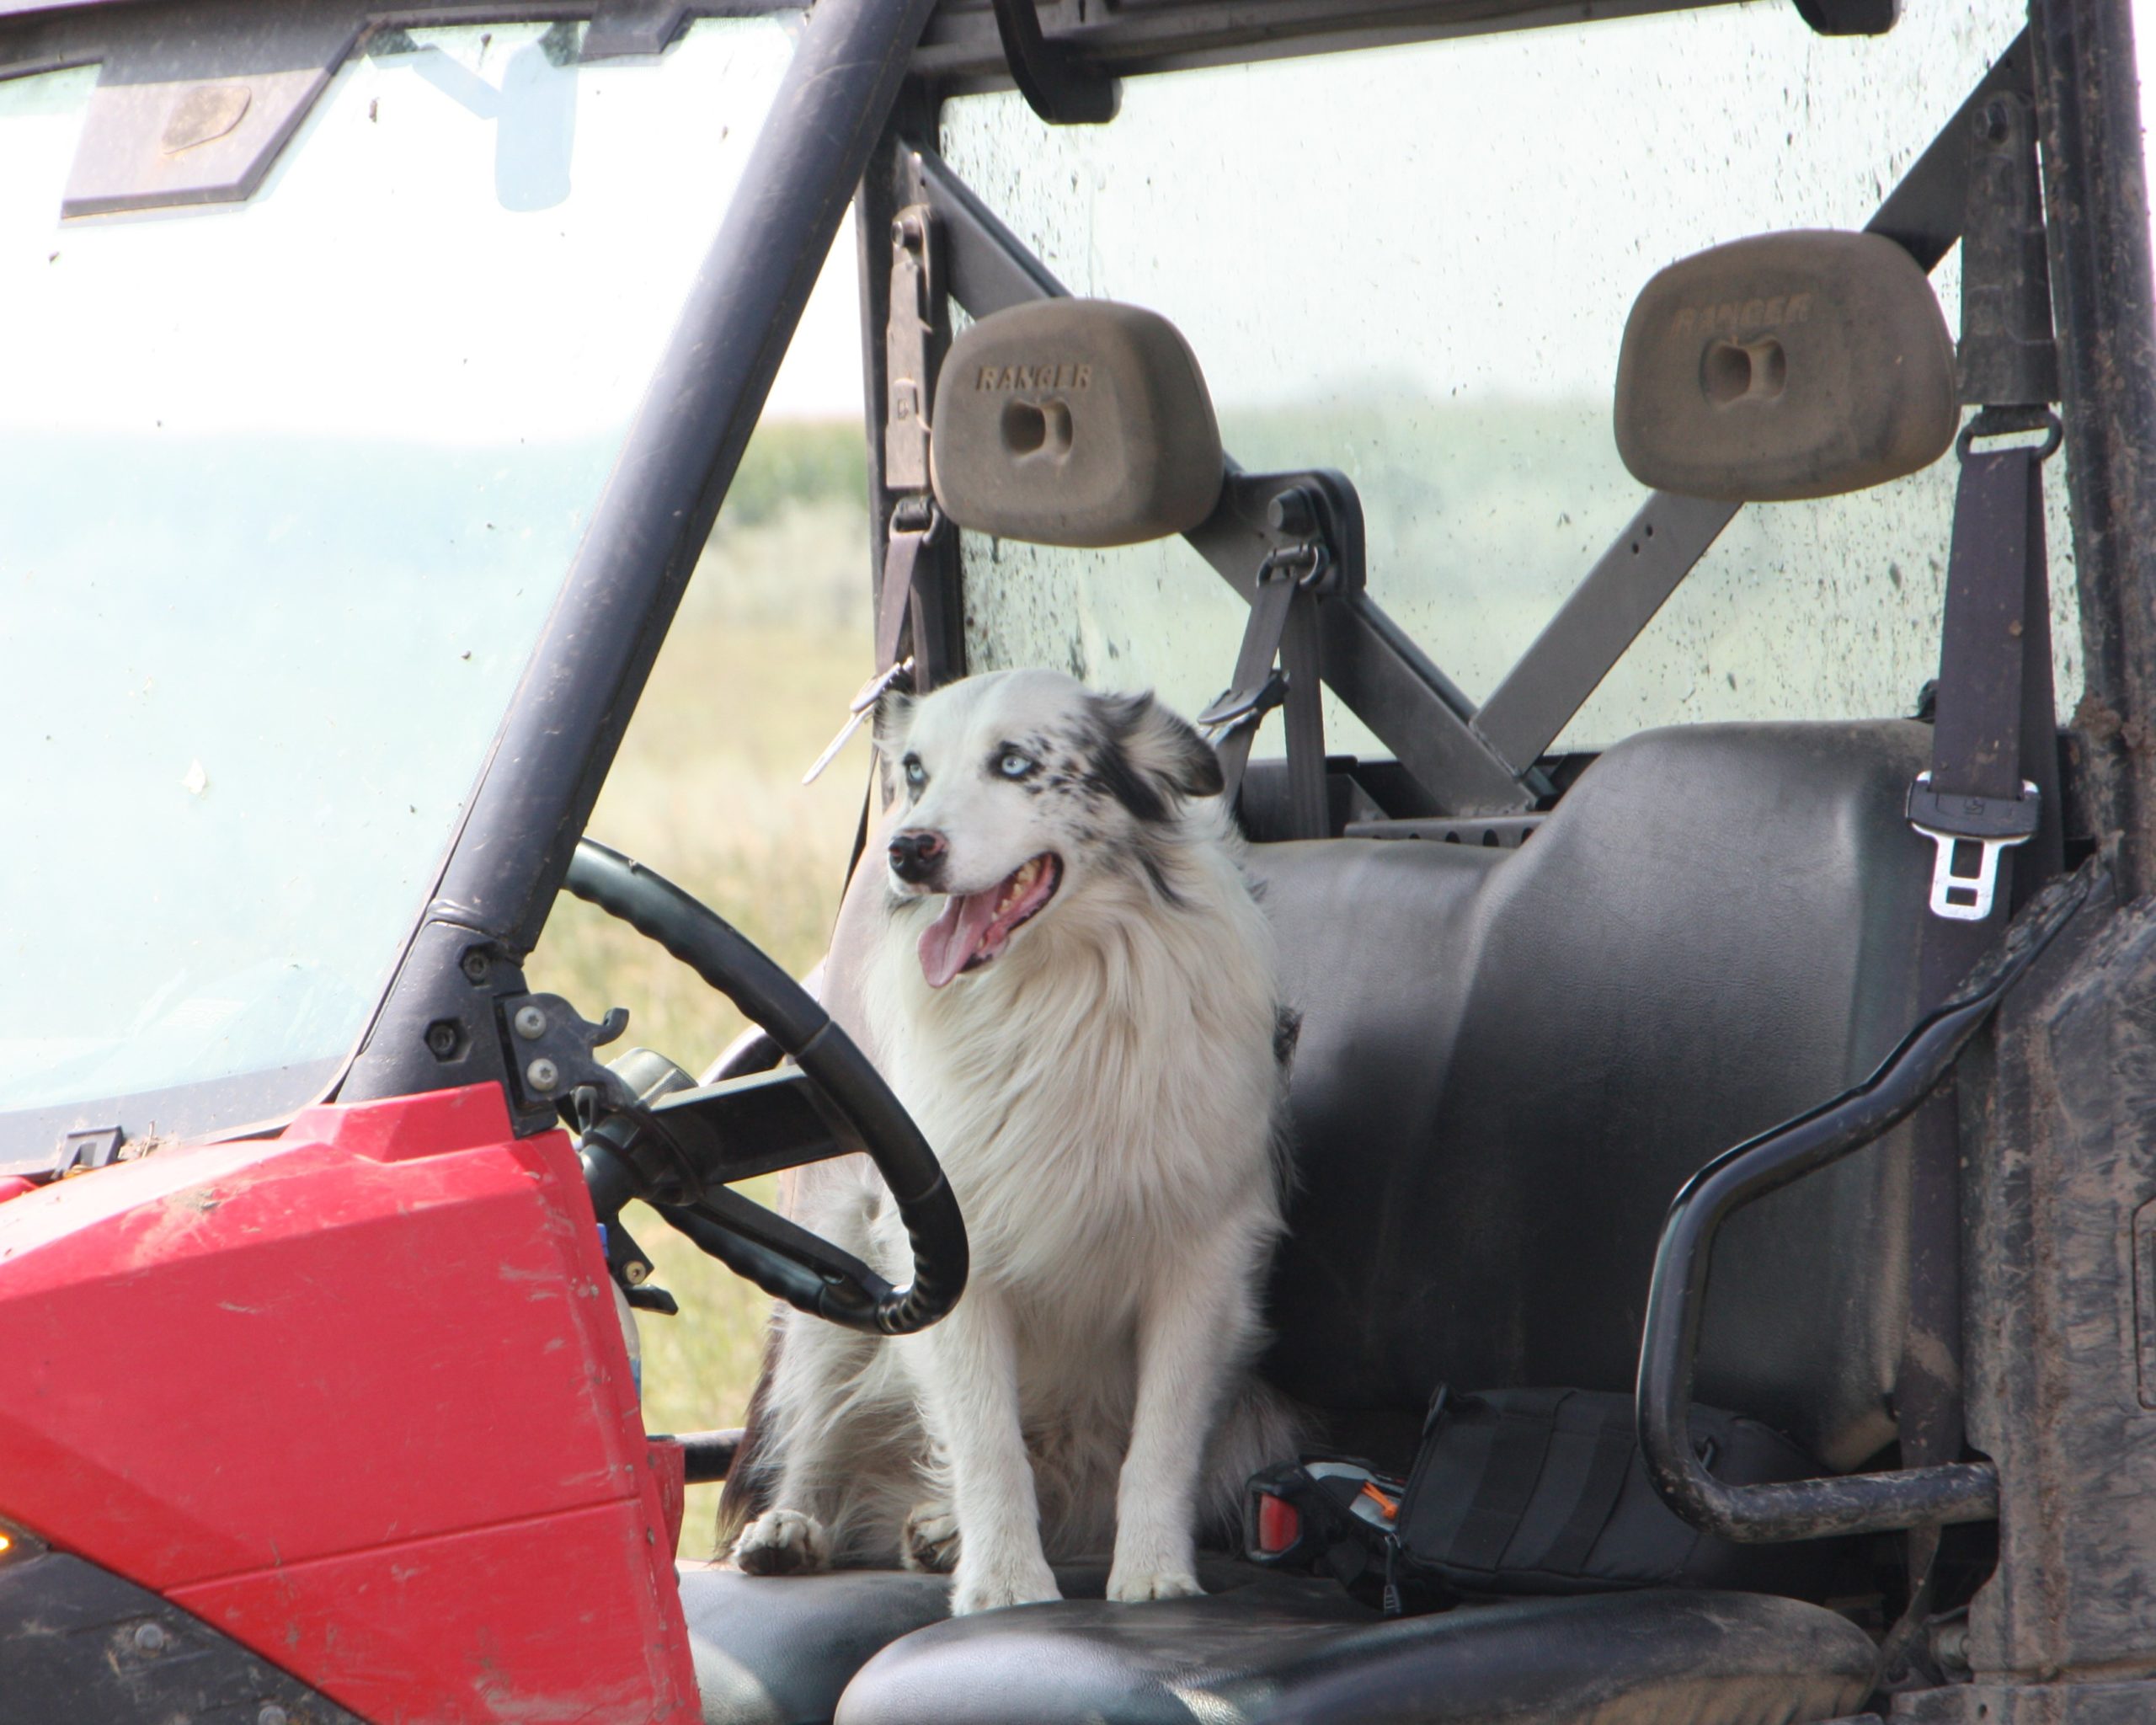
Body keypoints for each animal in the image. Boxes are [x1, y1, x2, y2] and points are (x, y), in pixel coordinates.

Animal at [720, 668, 1294, 1612]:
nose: (905, 851)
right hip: (842, 1271)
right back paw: (801, 1527)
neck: (1055, 990)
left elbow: (1162, 1437)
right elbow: (986, 1440)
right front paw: (1005, 1585)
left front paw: (1154, 1574)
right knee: (821, 1425)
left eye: (1015, 763)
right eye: (914, 770)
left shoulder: (1201, 1256)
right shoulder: (950, 1257)